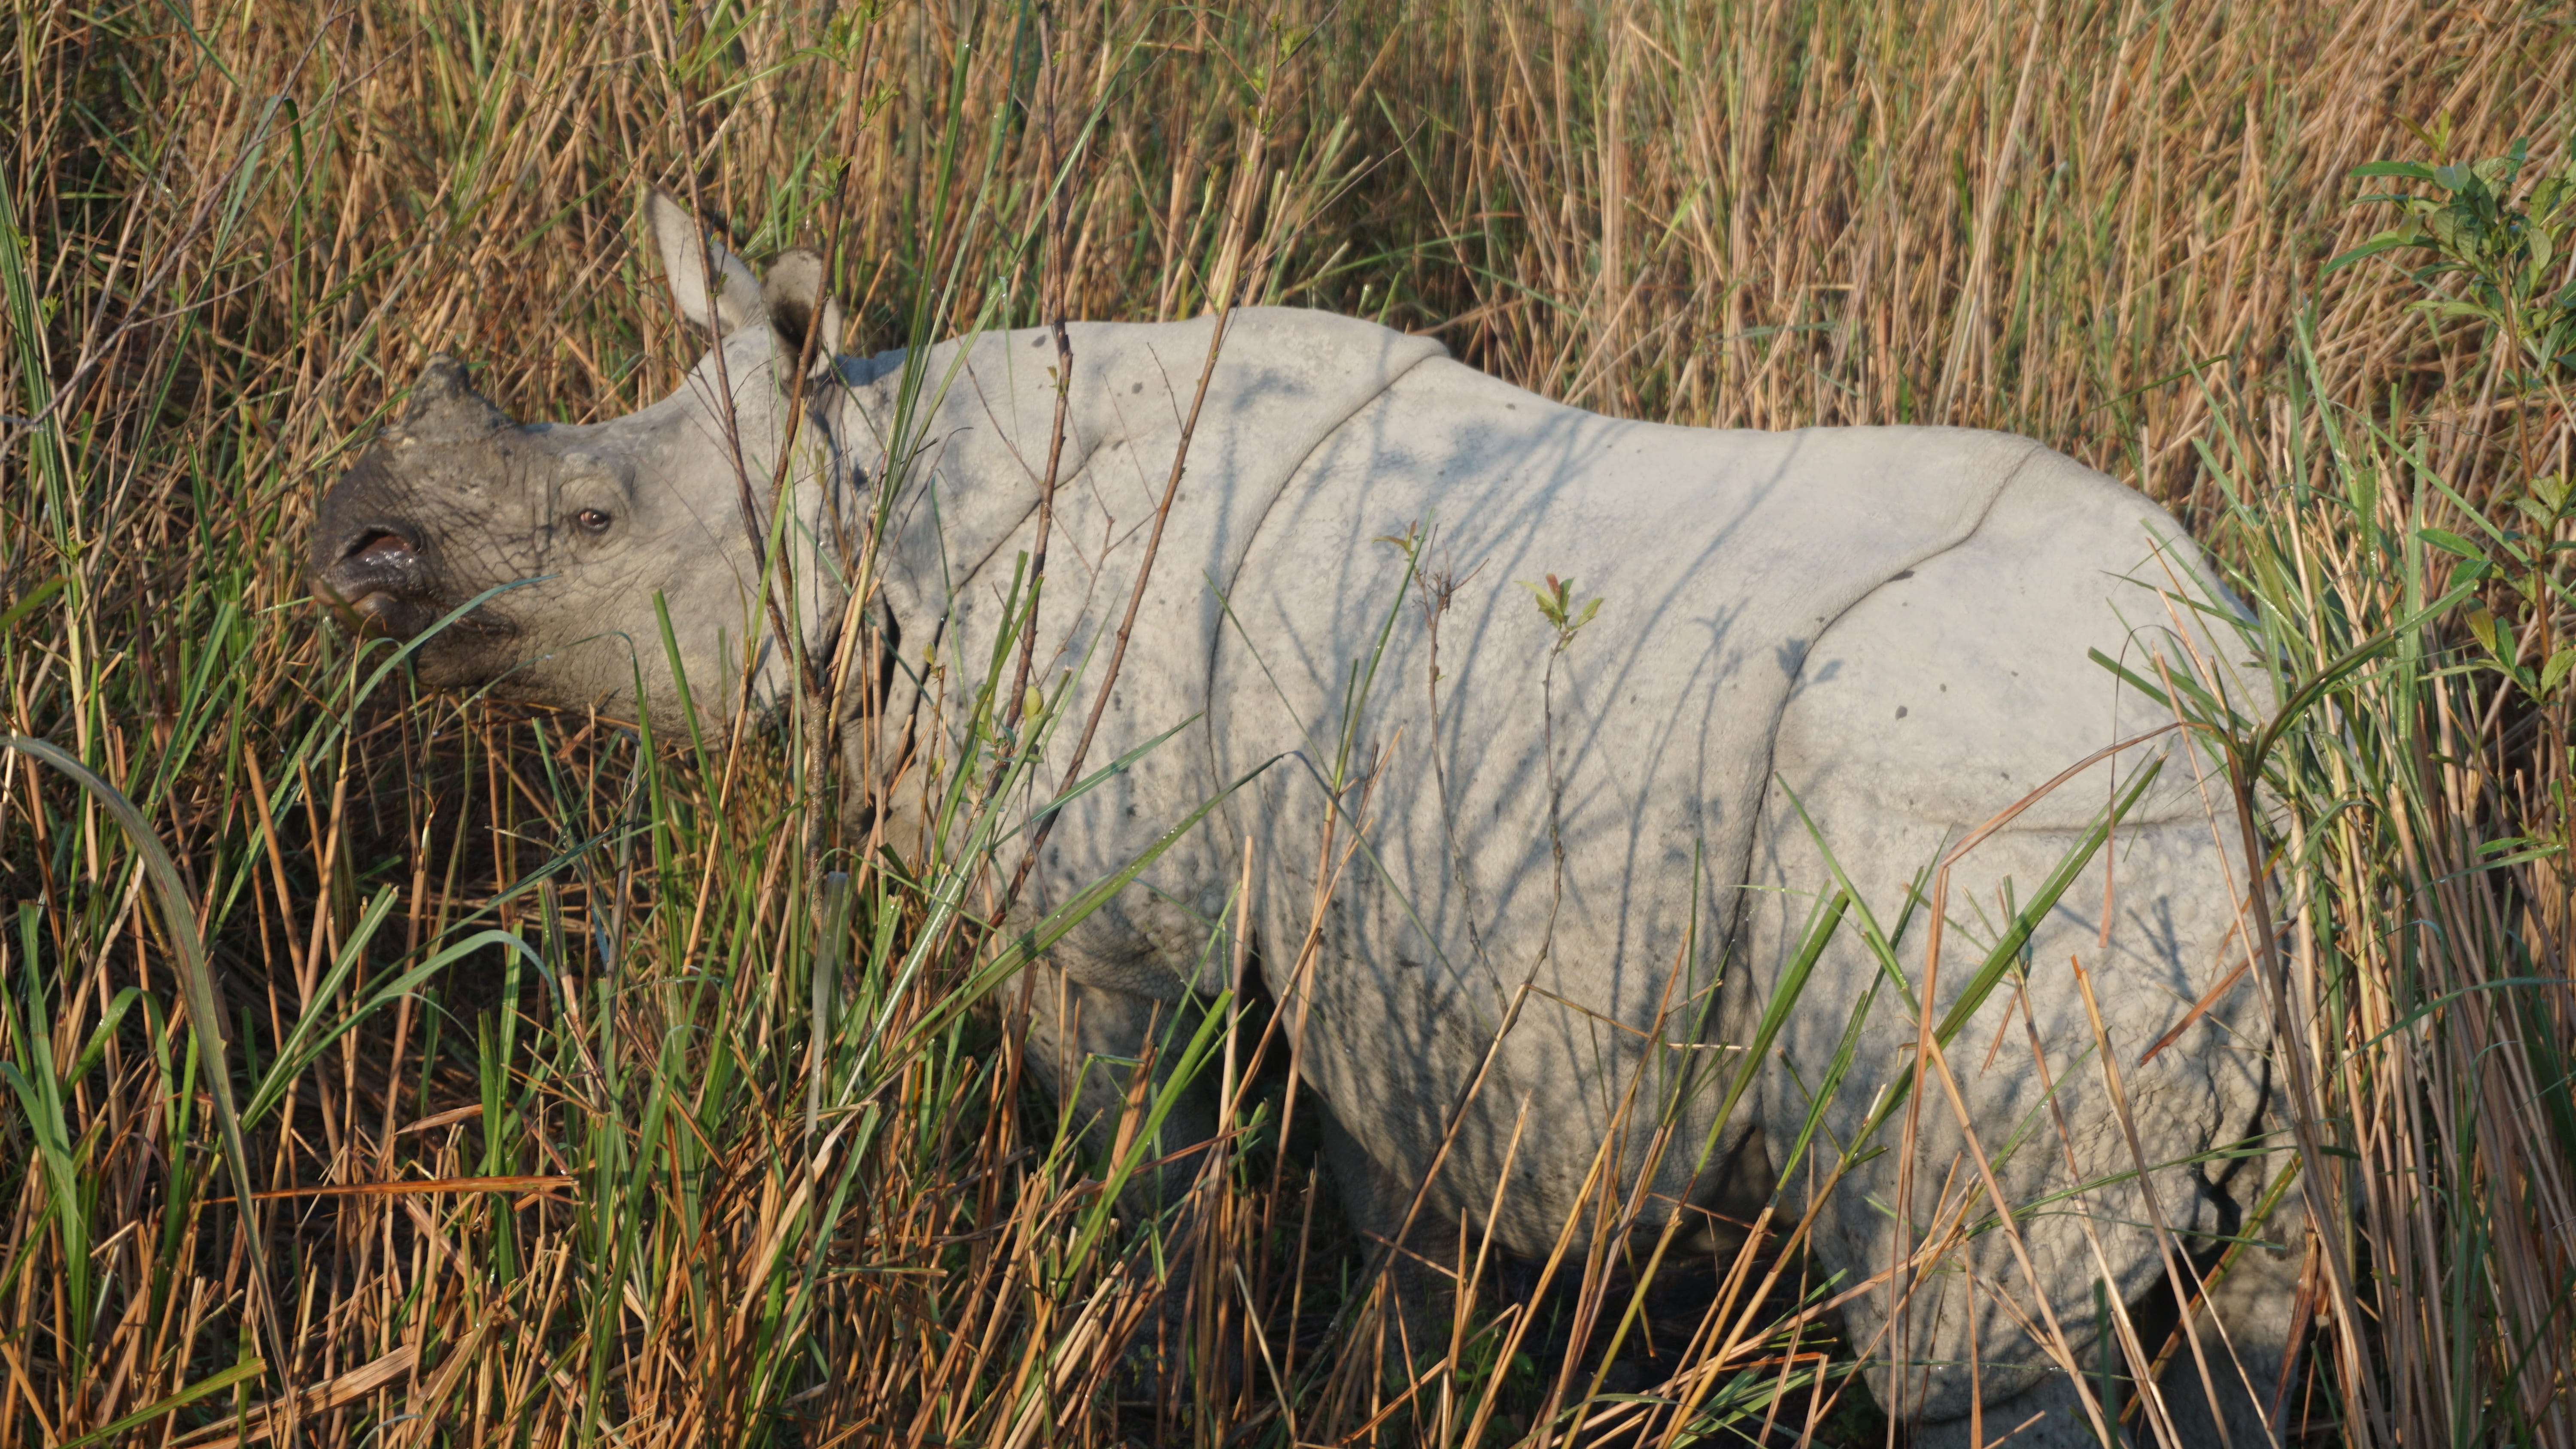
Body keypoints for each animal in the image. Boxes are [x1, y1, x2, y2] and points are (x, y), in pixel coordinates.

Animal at [313, 189, 2306, 1446]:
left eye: (590, 528)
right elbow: (1398, 1237)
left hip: (2009, 836)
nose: (345, 540)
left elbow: (1150, 1189)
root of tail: (2233, 686)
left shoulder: (1116, 931)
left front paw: (1160, 1395)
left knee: (1980, 1339)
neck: (865, 489)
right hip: (2187, 858)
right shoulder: (1392, 959)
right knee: (2244, 1317)